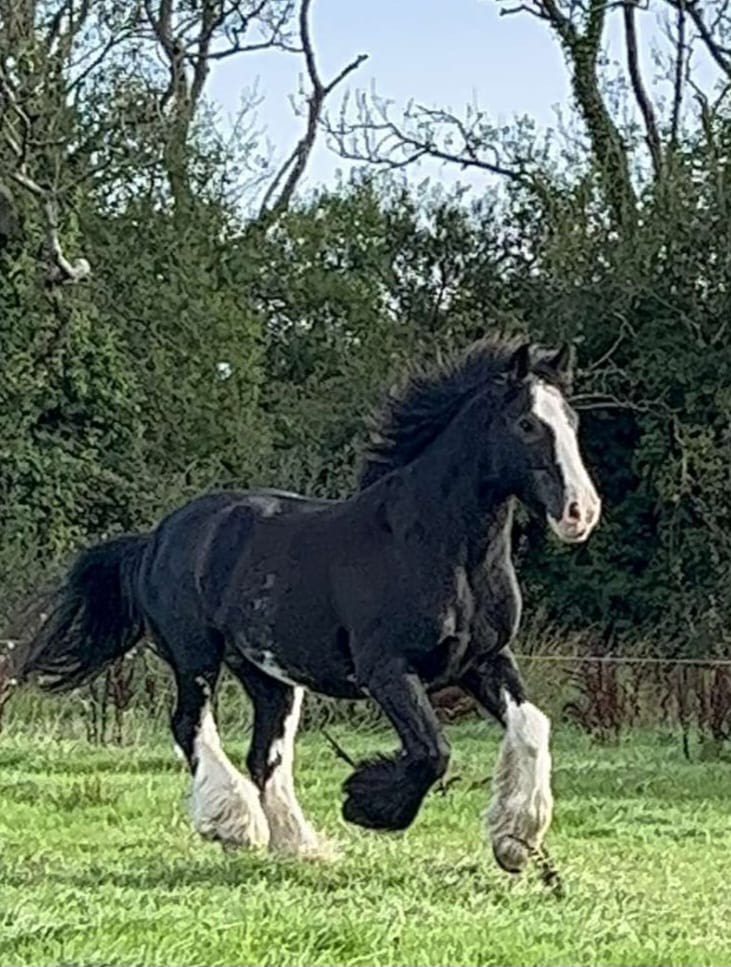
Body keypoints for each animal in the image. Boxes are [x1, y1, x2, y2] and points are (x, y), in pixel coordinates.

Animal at [14, 337, 601, 871]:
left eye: (572, 420)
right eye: (527, 424)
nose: (581, 511)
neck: (439, 548)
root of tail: (157, 537)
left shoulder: (484, 660)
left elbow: (532, 727)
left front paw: (515, 840)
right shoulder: (387, 669)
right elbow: (432, 750)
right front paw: (366, 804)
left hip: (269, 676)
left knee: (264, 754)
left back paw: (299, 845)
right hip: (194, 654)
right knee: (189, 725)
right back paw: (236, 824)